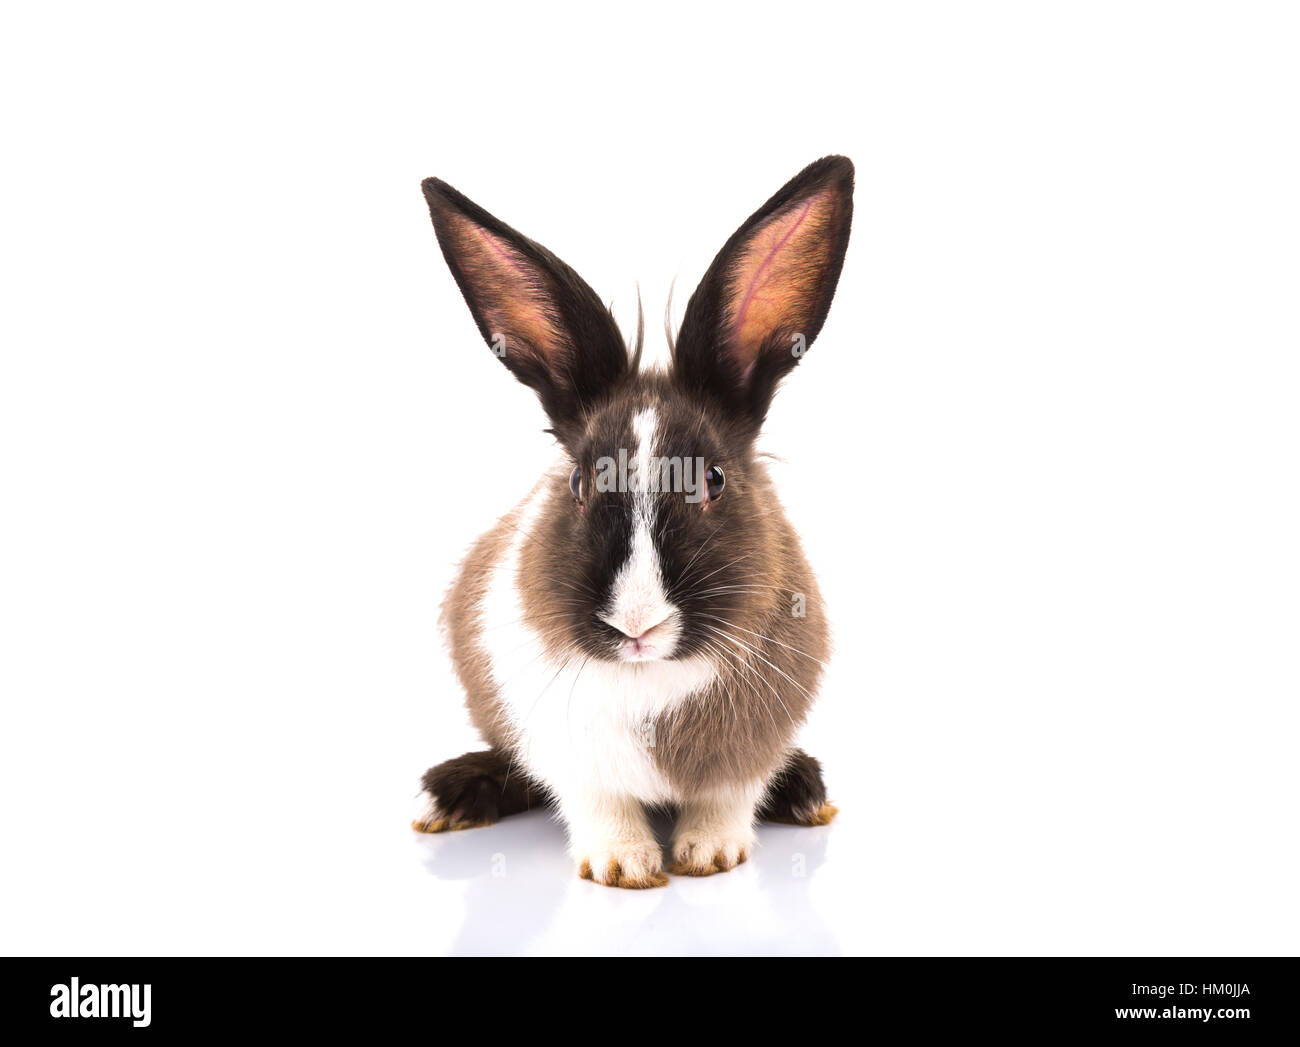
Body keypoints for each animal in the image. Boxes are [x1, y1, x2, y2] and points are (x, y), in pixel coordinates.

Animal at [413, 156, 853, 888]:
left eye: (713, 480)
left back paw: (804, 792)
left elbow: (728, 796)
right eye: (578, 483)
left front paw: (711, 854)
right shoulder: (562, 745)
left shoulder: (753, 743)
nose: (636, 624)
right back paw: (448, 796)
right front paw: (624, 864)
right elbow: (596, 801)